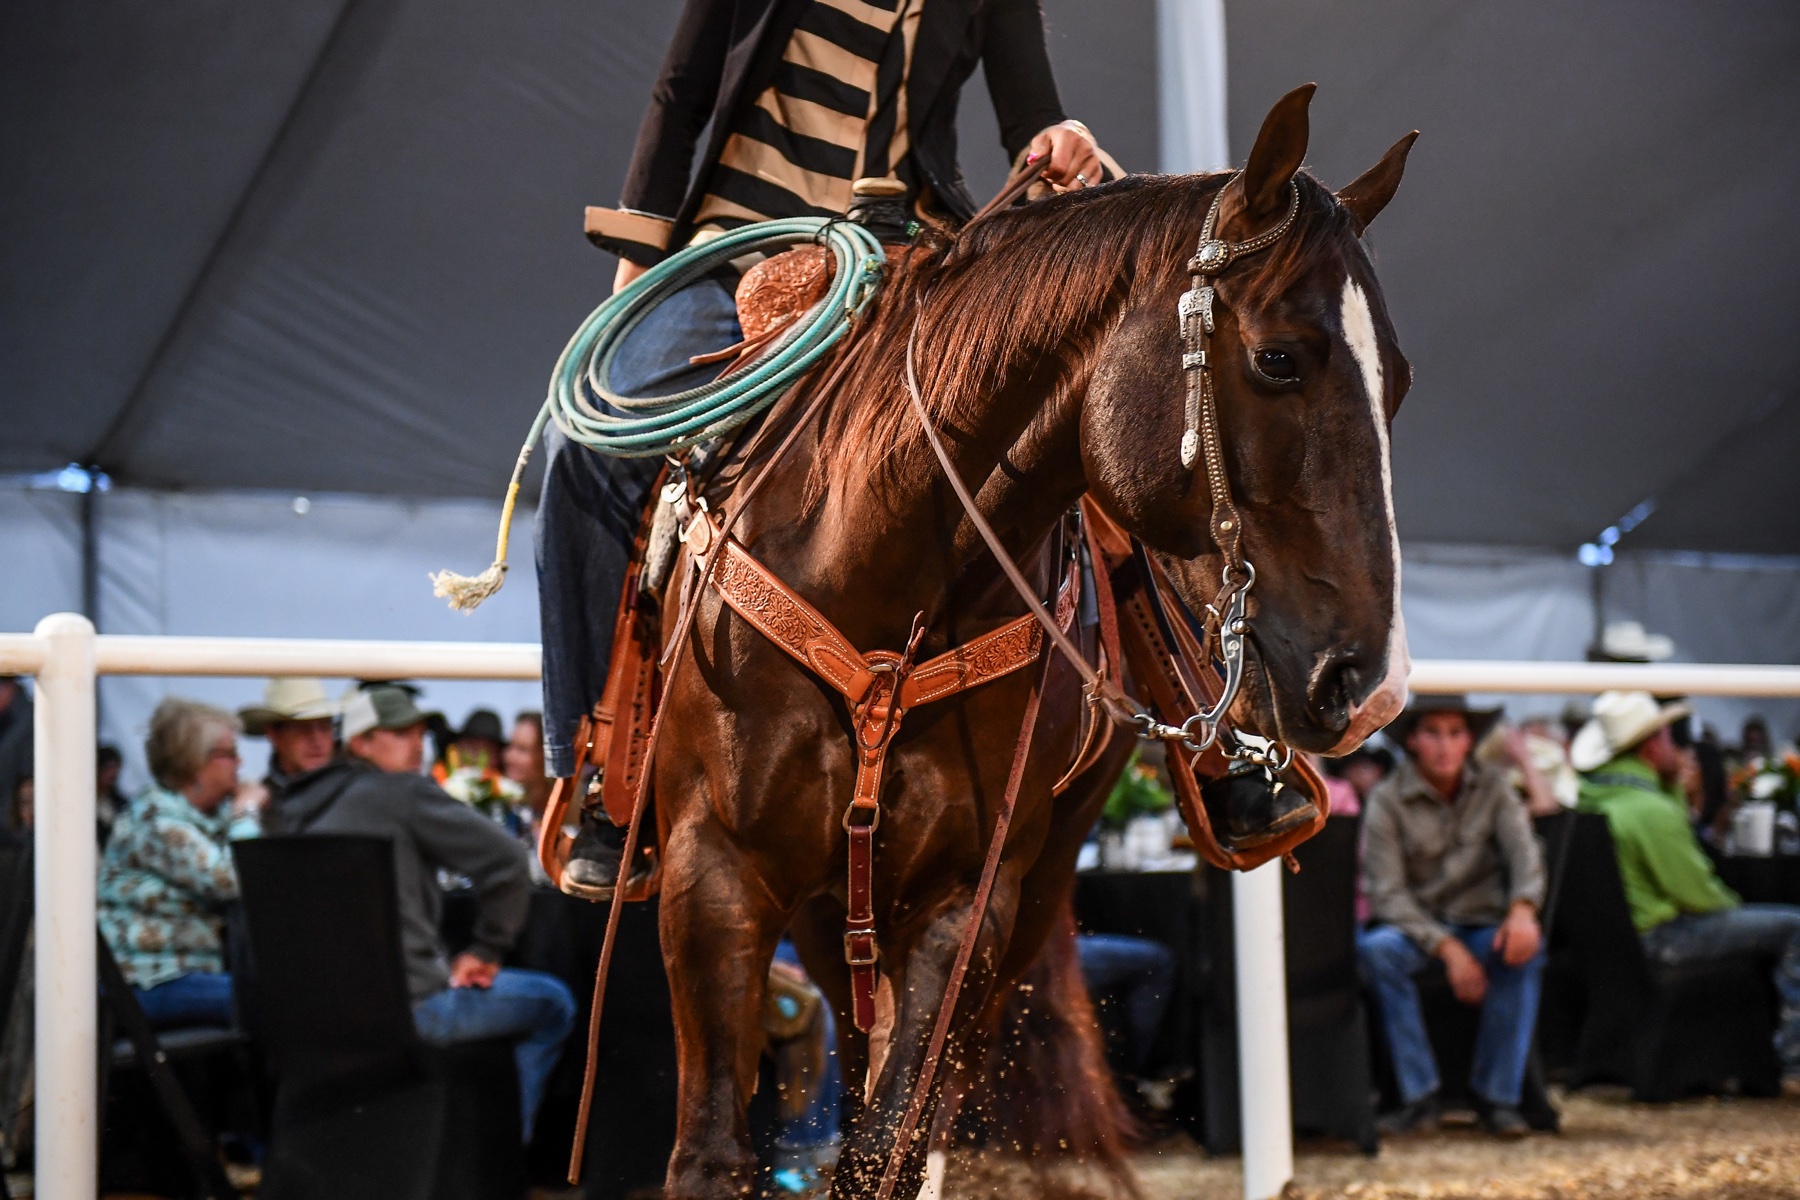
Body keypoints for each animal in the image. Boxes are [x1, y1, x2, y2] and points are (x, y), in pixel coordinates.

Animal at [646, 83, 1416, 1198]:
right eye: (1279, 359)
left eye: (1398, 380)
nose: (1374, 686)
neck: (883, 578)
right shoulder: (712, 876)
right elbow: (712, 1154)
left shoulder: (964, 903)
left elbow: (887, 1146)